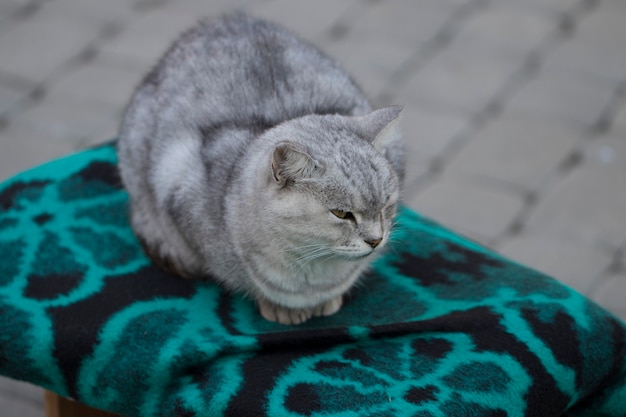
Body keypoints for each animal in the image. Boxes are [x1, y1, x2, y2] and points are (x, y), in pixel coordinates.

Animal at [116, 13, 402, 324]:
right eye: (341, 213)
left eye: (386, 203)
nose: (376, 240)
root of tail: (225, 19)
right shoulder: (178, 183)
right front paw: (281, 307)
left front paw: (327, 299)